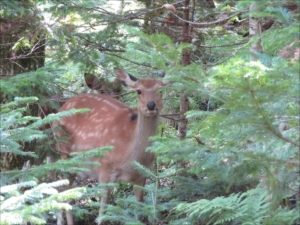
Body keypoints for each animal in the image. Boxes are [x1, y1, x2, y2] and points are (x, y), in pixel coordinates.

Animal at [52, 67, 168, 224]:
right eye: (138, 91)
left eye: (161, 90)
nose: (151, 105)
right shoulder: (104, 170)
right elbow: (102, 214)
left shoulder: (142, 175)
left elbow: (138, 212)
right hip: (65, 152)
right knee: (63, 191)